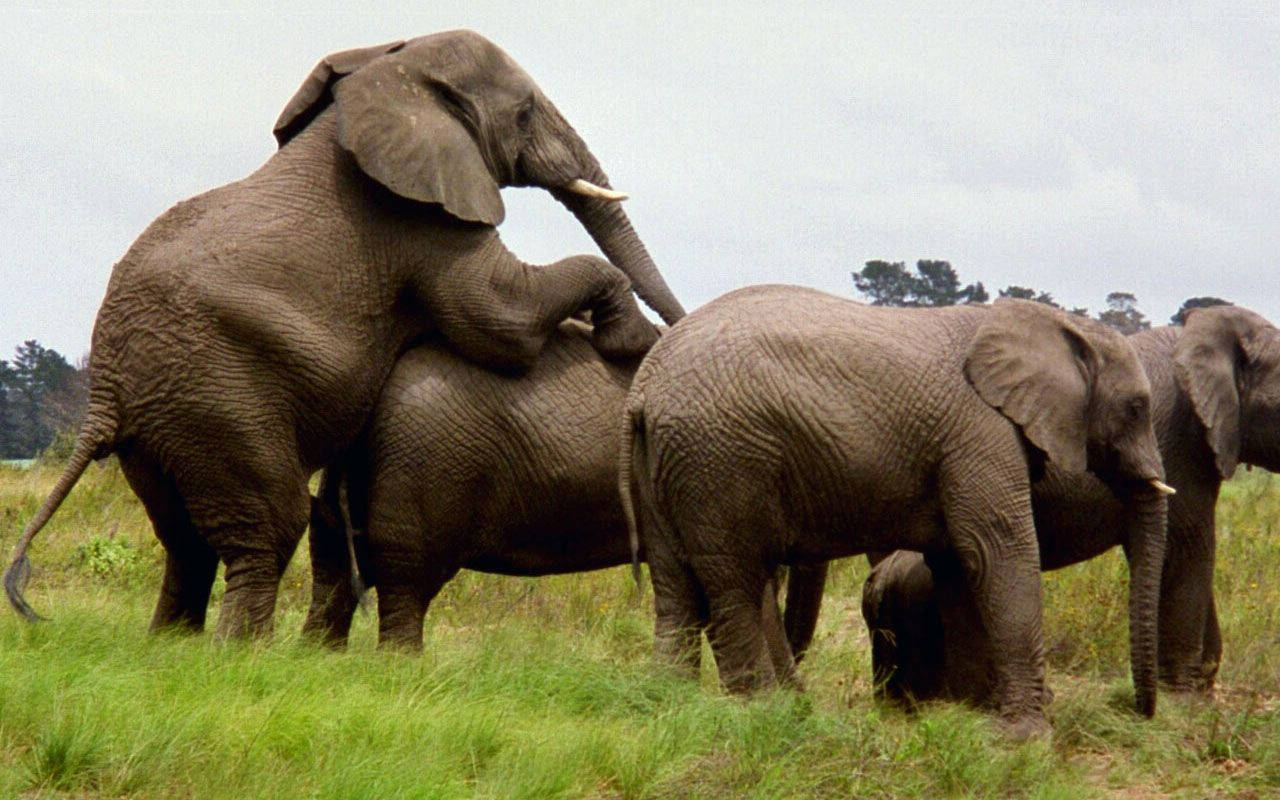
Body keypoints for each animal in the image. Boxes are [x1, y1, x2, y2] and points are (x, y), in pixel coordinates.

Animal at [4, 30, 685, 639]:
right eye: (523, 113)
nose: (670, 331)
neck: (388, 72)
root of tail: (104, 394)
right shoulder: (418, 217)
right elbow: (497, 321)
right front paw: (628, 338)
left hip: (164, 428)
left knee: (186, 541)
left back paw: (173, 645)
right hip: (217, 397)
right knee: (271, 524)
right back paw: (241, 654)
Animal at [619, 285, 1173, 736]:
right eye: (1136, 408)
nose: (1139, 713)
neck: (1052, 324)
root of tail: (644, 385)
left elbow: (957, 566)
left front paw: (964, 718)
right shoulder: (979, 434)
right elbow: (998, 549)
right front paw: (1026, 738)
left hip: (670, 462)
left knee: (675, 584)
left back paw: (668, 700)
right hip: (720, 458)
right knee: (735, 581)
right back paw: (762, 713)